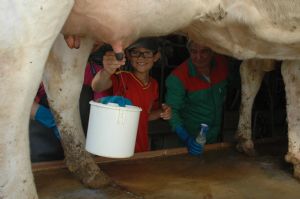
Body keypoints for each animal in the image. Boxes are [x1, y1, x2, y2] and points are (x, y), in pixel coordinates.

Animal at [1, 0, 300, 199]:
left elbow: (262, 74)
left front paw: (250, 142)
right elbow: (291, 80)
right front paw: (296, 159)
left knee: (62, 83)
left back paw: (89, 170)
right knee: (13, 98)